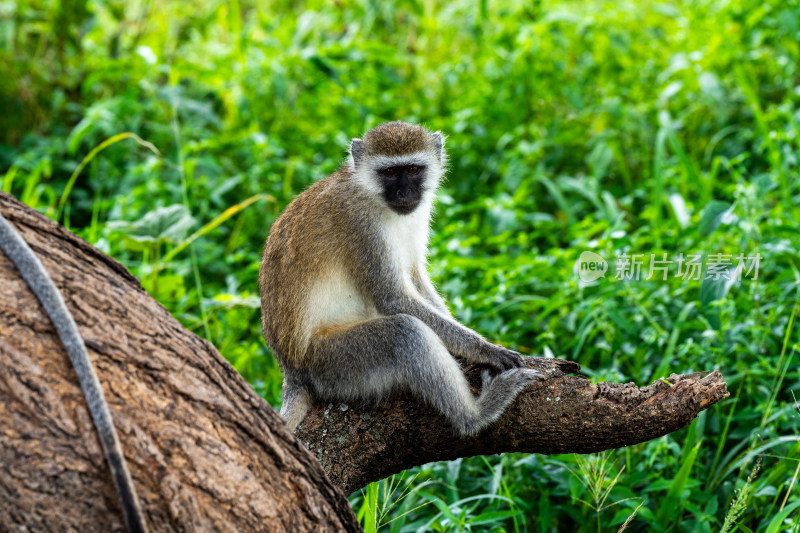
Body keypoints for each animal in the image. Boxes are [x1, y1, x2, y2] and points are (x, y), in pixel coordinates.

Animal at [260, 121, 536, 436]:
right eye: (390, 172)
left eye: (413, 170)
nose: (405, 194)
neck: (370, 193)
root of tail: (291, 370)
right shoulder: (361, 224)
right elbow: (393, 298)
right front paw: (485, 349)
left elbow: (415, 277)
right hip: (330, 364)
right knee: (404, 333)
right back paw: (476, 415)